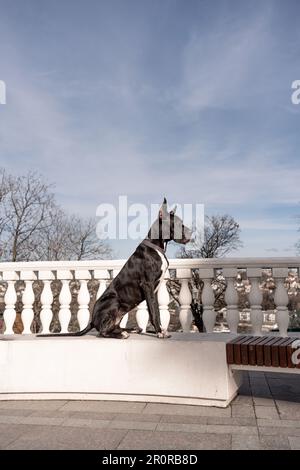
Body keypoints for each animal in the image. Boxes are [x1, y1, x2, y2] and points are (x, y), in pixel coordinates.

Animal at [38, 197, 192, 338]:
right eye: (178, 224)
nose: (191, 233)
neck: (156, 246)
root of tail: (92, 321)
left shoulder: (154, 290)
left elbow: (157, 311)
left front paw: (160, 330)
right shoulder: (147, 285)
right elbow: (153, 312)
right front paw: (159, 332)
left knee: (113, 326)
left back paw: (130, 329)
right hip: (114, 301)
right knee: (103, 332)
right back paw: (122, 334)